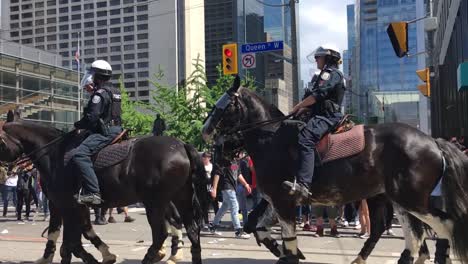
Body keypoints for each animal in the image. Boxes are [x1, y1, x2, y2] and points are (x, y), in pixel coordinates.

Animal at [0, 115, 208, 264]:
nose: (4, 172)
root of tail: (182, 145)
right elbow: (67, 236)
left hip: (155, 202)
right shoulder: (62, 204)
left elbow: (71, 243)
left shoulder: (67, 205)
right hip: (180, 198)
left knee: (161, 233)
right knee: (191, 230)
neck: (53, 154)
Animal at [201, 77, 468, 262]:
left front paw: (288, 253)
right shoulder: (273, 199)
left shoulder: (283, 200)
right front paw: (280, 249)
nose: (206, 132)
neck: (272, 137)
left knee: (440, 227)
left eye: (224, 105)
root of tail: (434, 142)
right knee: (407, 236)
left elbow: (286, 241)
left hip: (411, 199)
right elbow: (256, 226)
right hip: (395, 199)